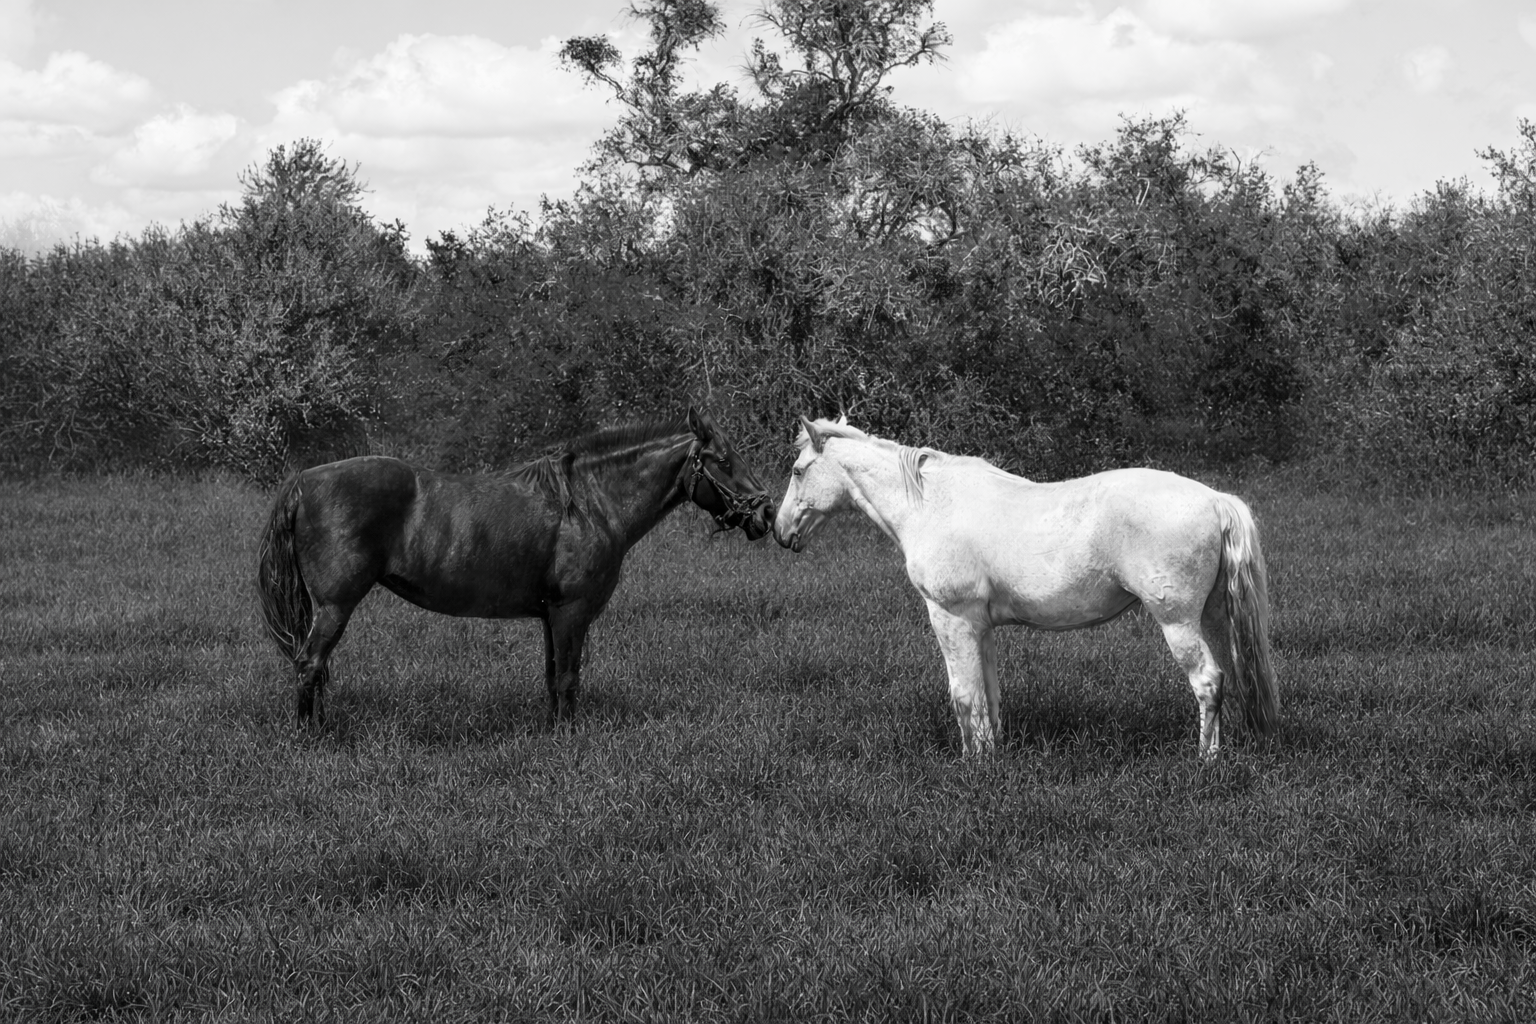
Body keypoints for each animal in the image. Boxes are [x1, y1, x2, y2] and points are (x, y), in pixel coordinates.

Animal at [256, 407, 775, 726]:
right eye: (723, 460)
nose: (767, 513)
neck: (588, 504)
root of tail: (305, 481)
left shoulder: (550, 615)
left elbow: (552, 676)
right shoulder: (570, 612)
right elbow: (567, 677)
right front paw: (568, 737)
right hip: (334, 606)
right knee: (309, 665)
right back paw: (313, 738)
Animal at [772, 416, 1277, 758]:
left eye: (798, 470)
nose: (779, 532)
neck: (929, 505)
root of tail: (1215, 500)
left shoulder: (950, 618)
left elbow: (963, 696)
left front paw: (972, 762)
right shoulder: (980, 627)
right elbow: (989, 695)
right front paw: (991, 753)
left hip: (1178, 622)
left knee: (1207, 681)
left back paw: (1205, 759)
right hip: (1212, 616)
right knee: (1228, 676)